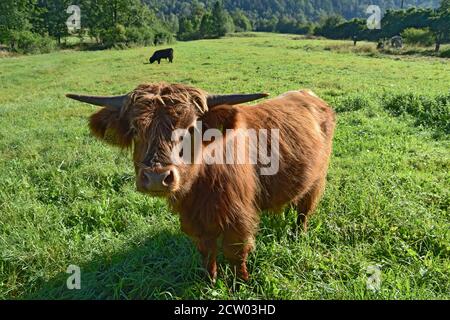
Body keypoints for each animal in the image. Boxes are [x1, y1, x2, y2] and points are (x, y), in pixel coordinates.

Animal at [66, 84, 334, 282]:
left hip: (317, 179)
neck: (201, 185)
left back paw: (297, 236)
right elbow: (207, 253)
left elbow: (236, 253)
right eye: (134, 128)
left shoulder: (239, 217)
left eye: (190, 128)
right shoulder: (194, 219)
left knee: (304, 211)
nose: (156, 177)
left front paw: (241, 283)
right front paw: (210, 281)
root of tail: (309, 94)